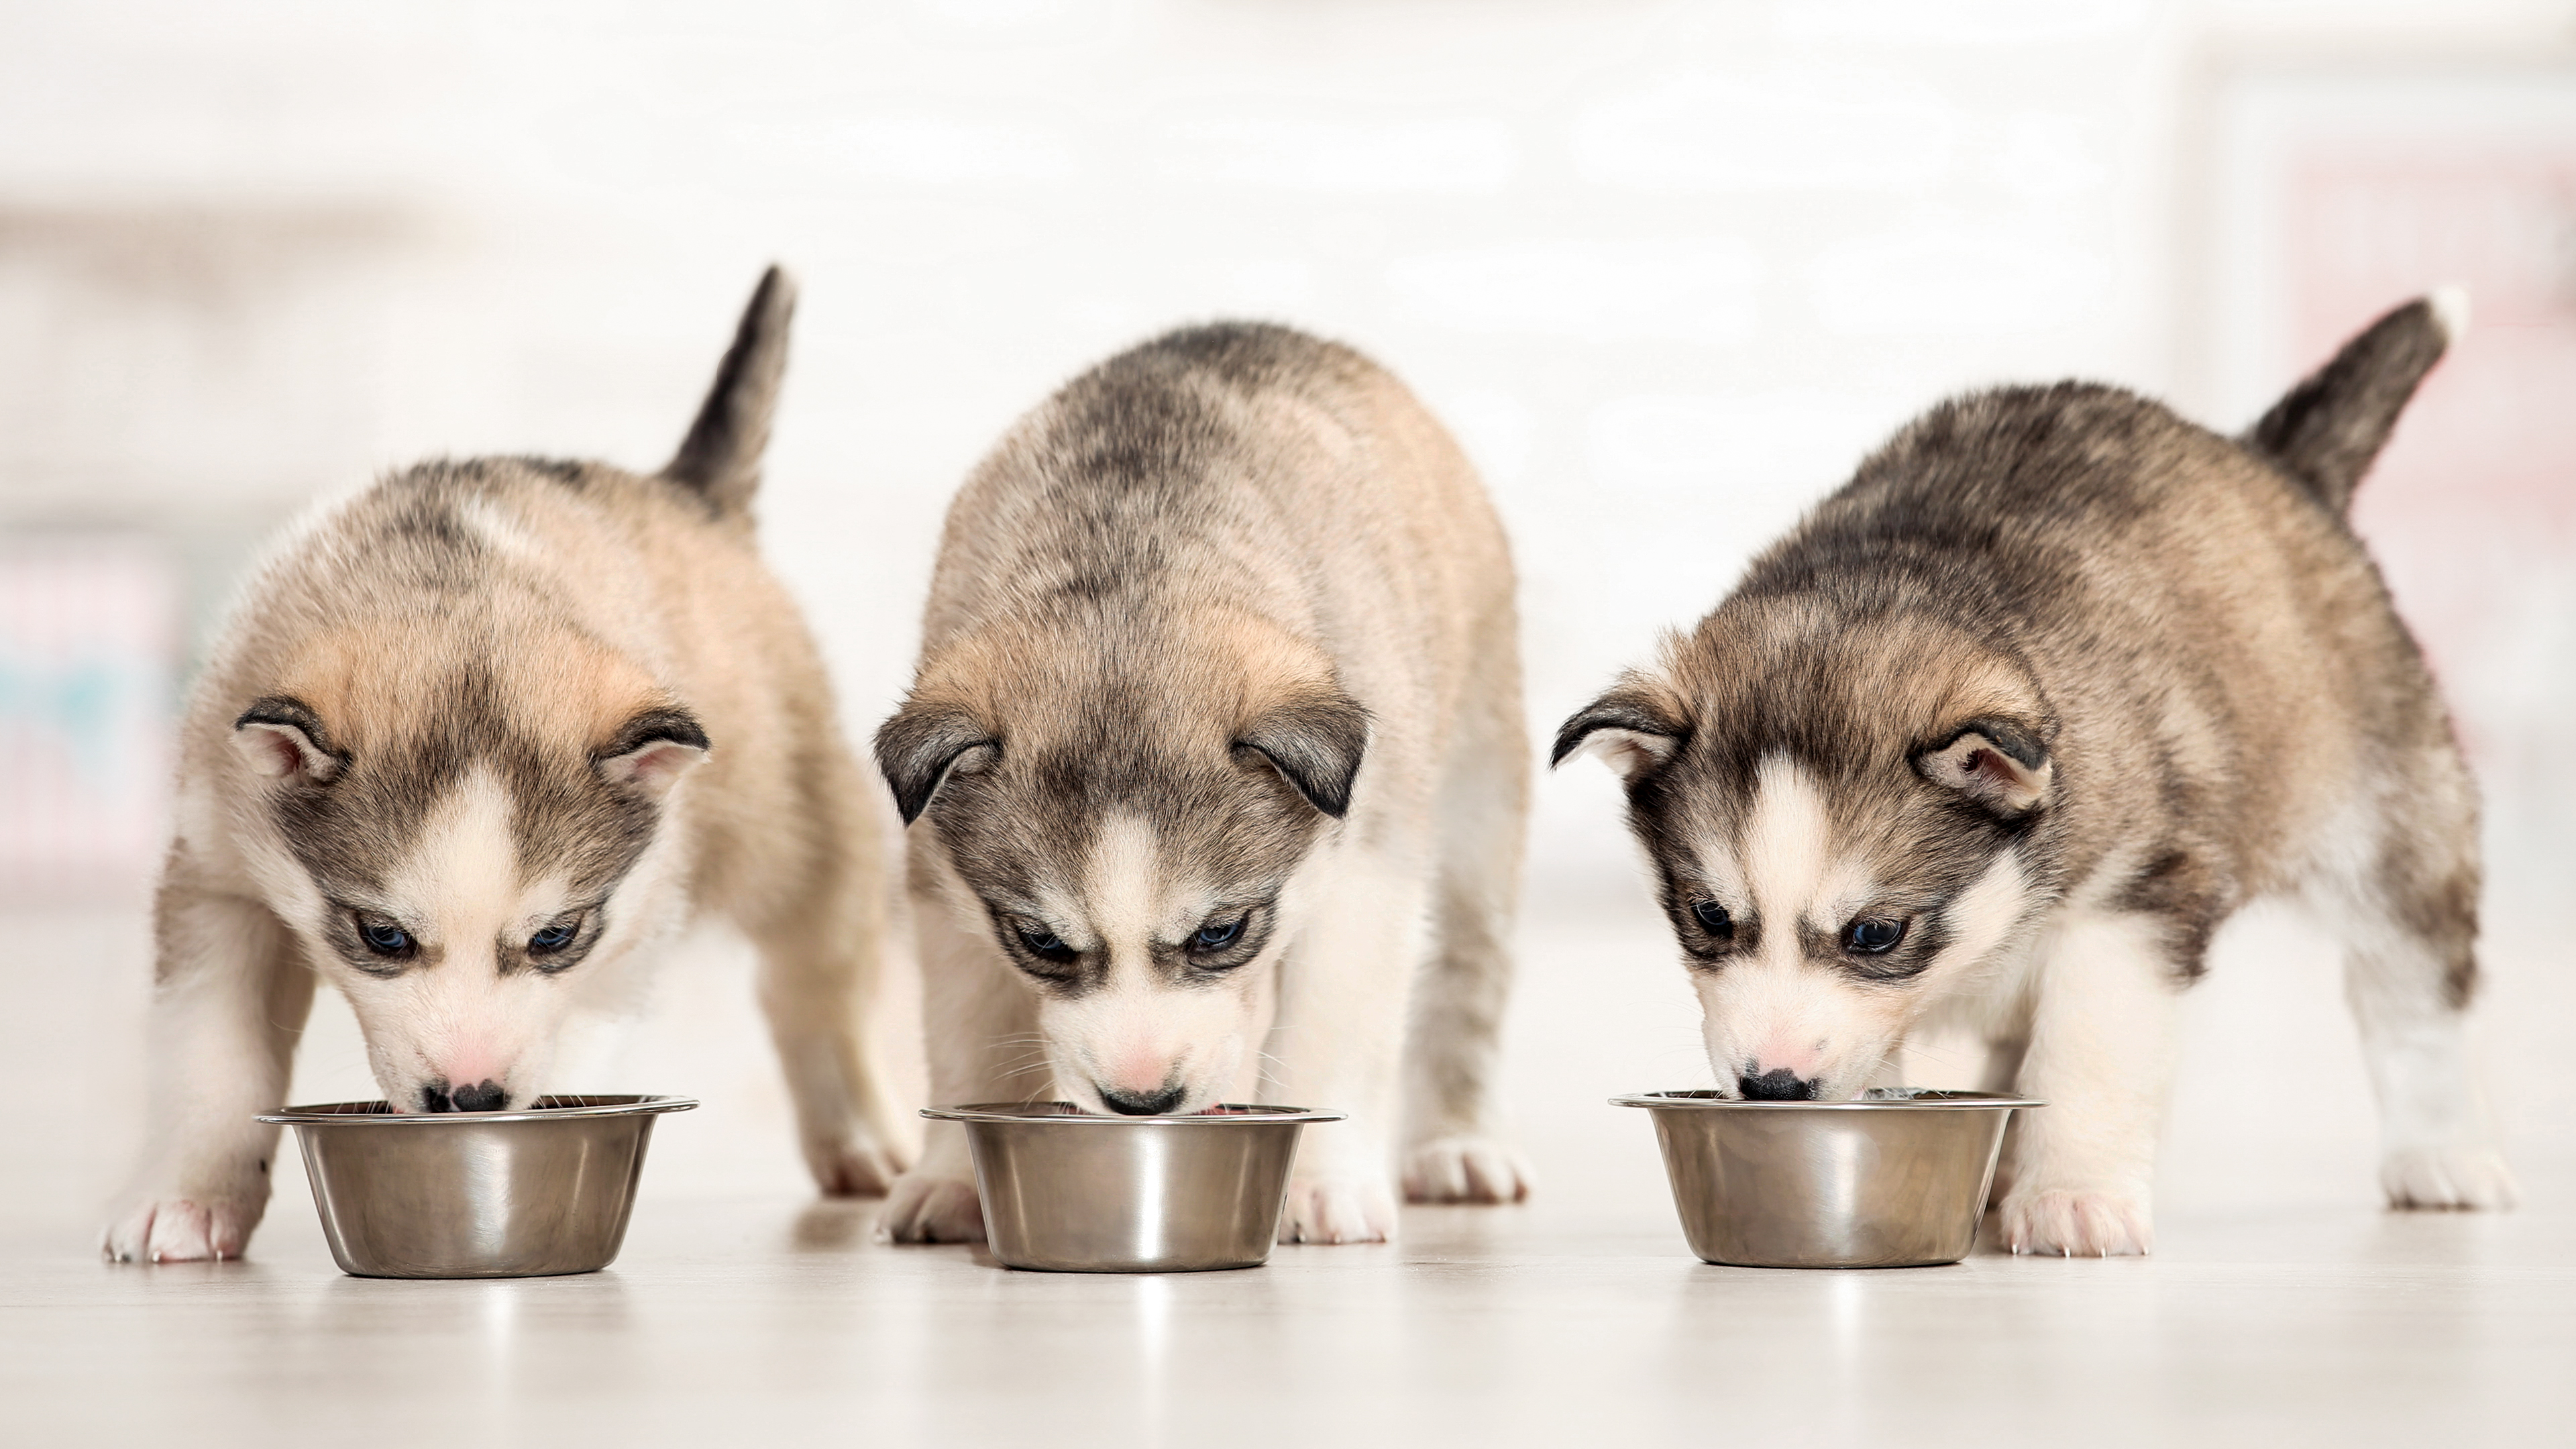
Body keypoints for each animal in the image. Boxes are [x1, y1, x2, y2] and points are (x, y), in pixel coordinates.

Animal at [105, 265, 912, 1258]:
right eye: (383, 936)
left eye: (553, 937)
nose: (471, 1099)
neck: (463, 594)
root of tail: (685, 496)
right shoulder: (217, 871)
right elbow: (212, 1047)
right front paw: (186, 1197)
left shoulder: (638, 912)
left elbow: (583, 1020)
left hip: (802, 831)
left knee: (817, 978)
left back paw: (861, 1136)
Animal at [885, 321, 1525, 1237]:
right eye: (1042, 943)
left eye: (1220, 933)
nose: (1142, 1102)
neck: (1130, 576)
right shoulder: (945, 894)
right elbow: (965, 1040)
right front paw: (950, 1178)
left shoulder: (1367, 870)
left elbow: (1333, 1031)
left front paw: (1324, 1182)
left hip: (1477, 799)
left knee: (1463, 976)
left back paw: (1456, 1143)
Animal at [1546, 296, 2514, 1252]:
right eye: (1710, 916)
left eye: (1875, 934)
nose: (1771, 1087)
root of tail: (2268, 463)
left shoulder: (2132, 903)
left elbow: (2089, 1051)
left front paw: (2074, 1196)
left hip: (2389, 830)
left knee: (2413, 994)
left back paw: (2440, 1155)